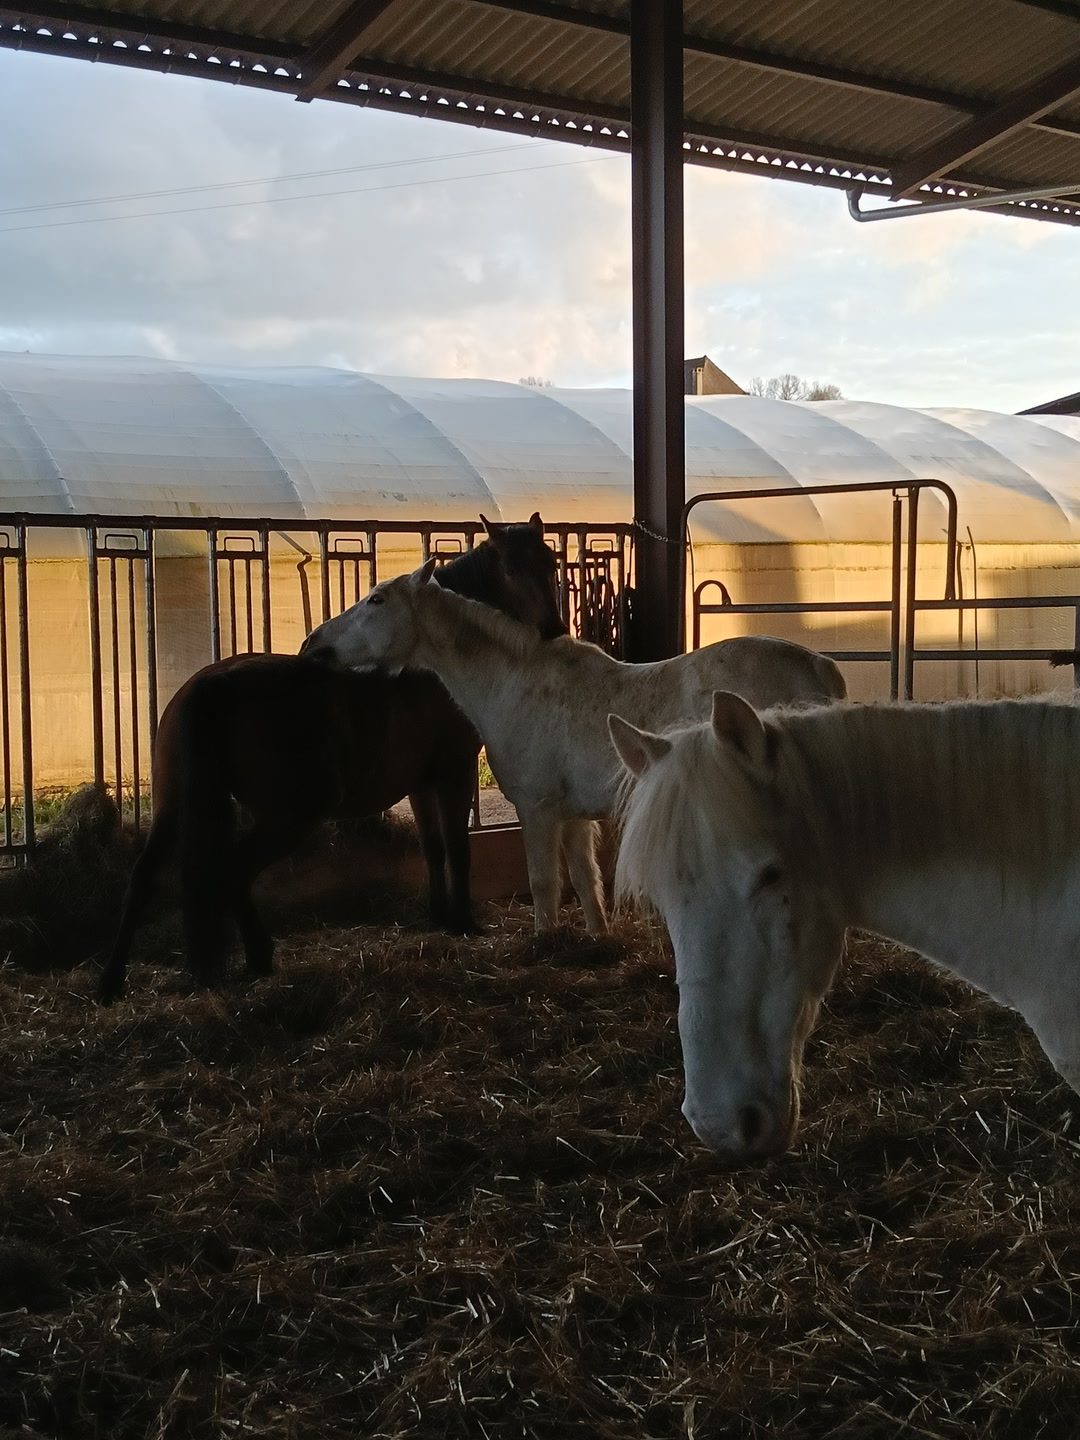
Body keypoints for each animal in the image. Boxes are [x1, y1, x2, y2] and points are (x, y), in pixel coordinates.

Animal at [98, 514, 565, 1002]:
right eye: (510, 568)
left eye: (550, 561)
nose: (553, 628)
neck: (430, 665)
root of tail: (209, 686)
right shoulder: (452, 771)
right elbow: (457, 847)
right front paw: (463, 923)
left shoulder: (420, 782)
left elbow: (432, 847)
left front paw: (438, 917)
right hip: (290, 815)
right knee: (233, 871)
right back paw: (257, 955)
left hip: (174, 806)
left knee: (144, 877)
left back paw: (113, 980)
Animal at [300, 561, 846, 933]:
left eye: (376, 600)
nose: (313, 644)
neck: (514, 685)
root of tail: (818, 666)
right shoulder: (574, 816)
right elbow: (586, 883)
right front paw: (598, 939)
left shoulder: (538, 810)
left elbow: (545, 884)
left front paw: (546, 944)